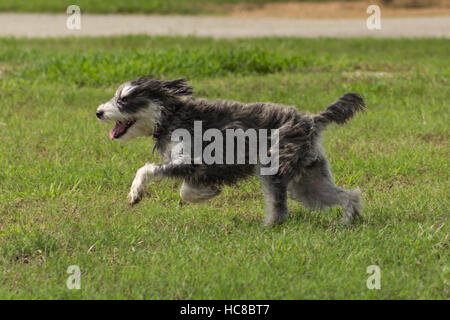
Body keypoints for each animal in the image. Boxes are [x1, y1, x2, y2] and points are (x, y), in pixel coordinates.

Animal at [96, 77, 368, 226]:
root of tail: (311, 120)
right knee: (348, 196)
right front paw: (207, 193)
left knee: (279, 209)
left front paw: (135, 193)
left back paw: (267, 227)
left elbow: (148, 170)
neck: (170, 116)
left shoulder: (192, 159)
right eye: (116, 96)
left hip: (273, 169)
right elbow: (187, 190)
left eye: (124, 99)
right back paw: (346, 222)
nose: (98, 112)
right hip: (307, 182)